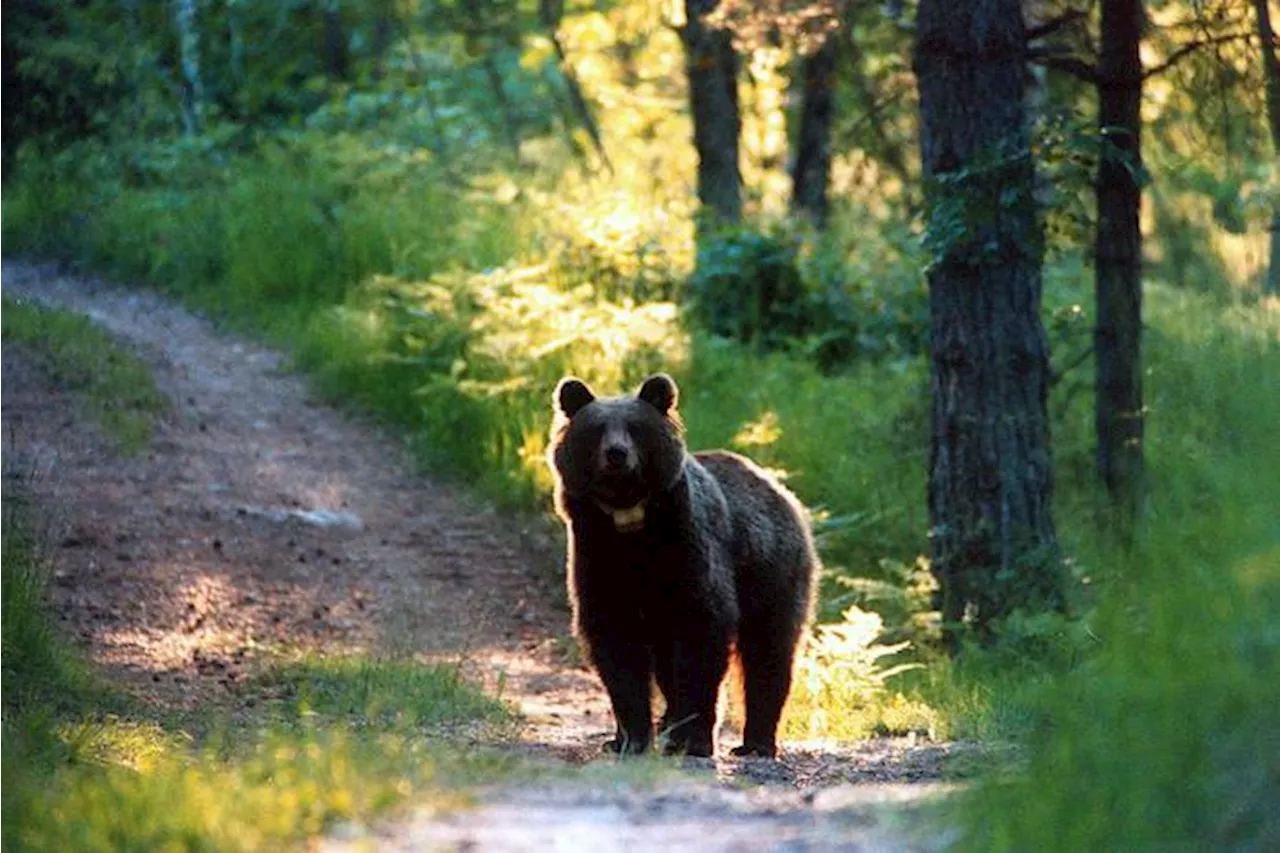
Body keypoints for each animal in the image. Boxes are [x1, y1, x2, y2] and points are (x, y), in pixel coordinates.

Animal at [545, 371, 814, 758]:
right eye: (596, 429)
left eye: (636, 427)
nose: (616, 454)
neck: (631, 524)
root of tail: (777, 488)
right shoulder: (598, 554)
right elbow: (616, 643)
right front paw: (631, 737)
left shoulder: (687, 550)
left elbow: (701, 633)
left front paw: (694, 739)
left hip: (771, 569)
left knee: (769, 650)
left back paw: (756, 742)